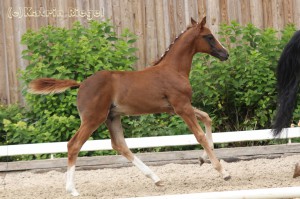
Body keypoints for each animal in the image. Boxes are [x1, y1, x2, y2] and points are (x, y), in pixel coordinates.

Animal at [28, 17, 230, 196]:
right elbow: (200, 135)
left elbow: (207, 118)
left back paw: (156, 179)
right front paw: (223, 171)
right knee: (74, 145)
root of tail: (81, 84)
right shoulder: (182, 107)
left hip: (112, 117)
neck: (173, 70)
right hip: (94, 118)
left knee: (120, 145)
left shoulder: (175, 108)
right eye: (209, 36)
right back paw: (72, 190)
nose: (225, 54)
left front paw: (202, 159)